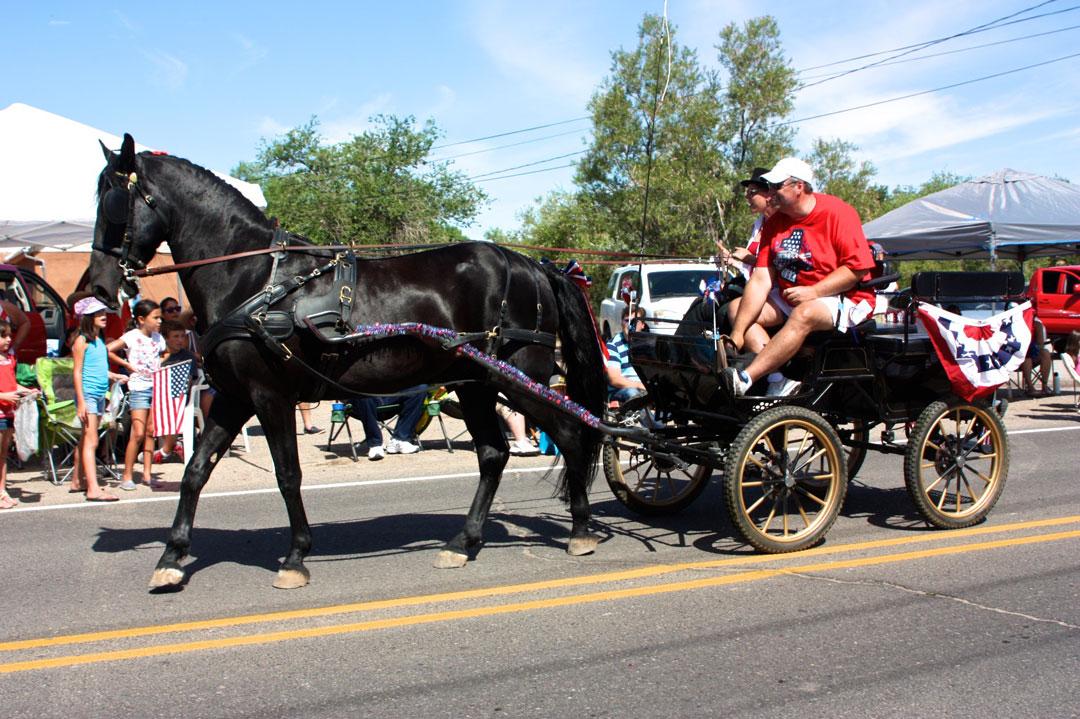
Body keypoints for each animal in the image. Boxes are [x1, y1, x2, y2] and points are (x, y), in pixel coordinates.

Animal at [86, 132, 609, 587]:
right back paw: (465, 542)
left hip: (518, 379)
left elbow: (288, 475)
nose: (97, 286)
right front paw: (172, 557)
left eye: (112, 201)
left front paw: (295, 557)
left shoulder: (269, 395)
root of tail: (534, 266)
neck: (252, 276)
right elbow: (196, 471)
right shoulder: (236, 396)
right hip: (476, 384)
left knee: (569, 433)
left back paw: (580, 529)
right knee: (494, 453)